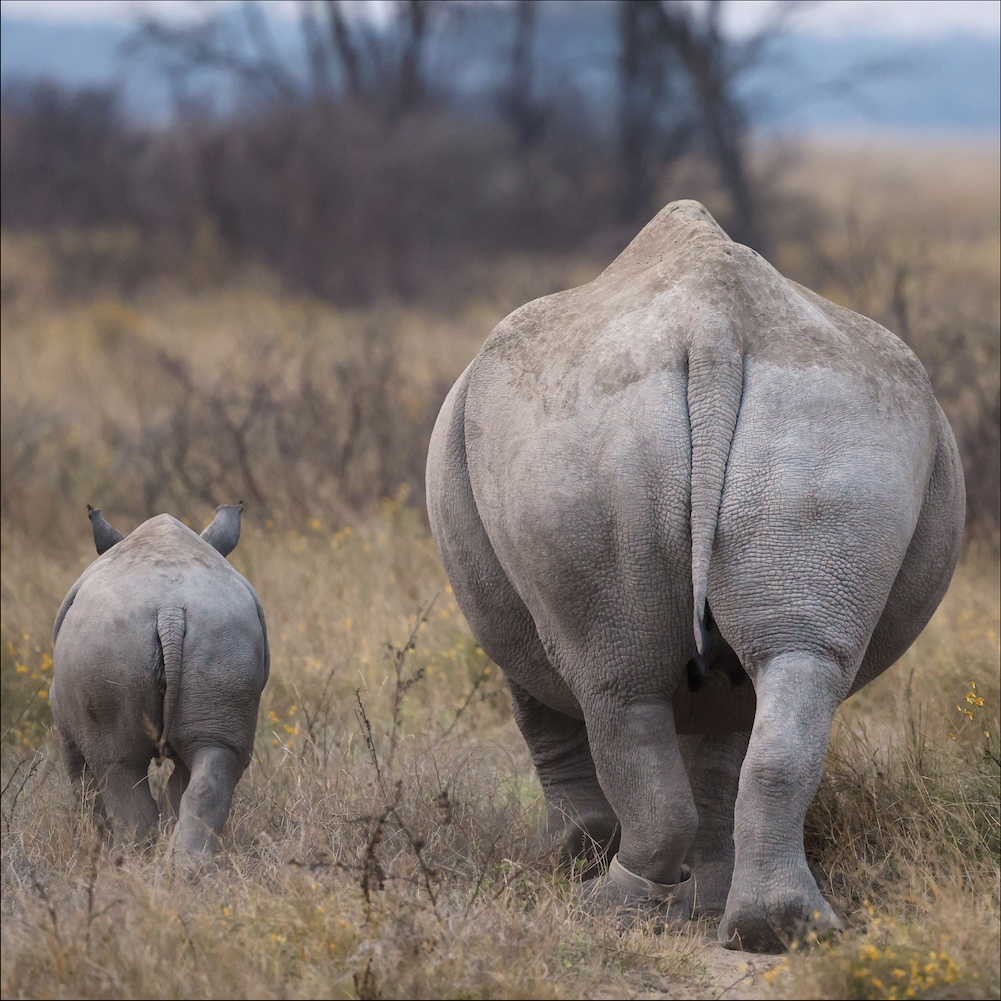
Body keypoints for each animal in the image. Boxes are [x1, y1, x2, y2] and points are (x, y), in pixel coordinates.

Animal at [51, 503, 269, 858]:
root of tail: (169, 610)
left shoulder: (62, 716)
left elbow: (80, 777)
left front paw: (91, 835)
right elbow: (177, 785)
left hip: (108, 643)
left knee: (117, 765)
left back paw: (125, 862)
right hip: (224, 636)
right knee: (216, 754)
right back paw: (186, 867)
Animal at [426, 200, 965, 951]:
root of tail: (714, 329)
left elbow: (548, 723)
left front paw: (572, 860)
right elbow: (718, 762)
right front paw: (709, 899)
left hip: (580, 434)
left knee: (617, 687)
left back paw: (610, 905)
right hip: (837, 425)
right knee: (797, 660)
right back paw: (780, 929)